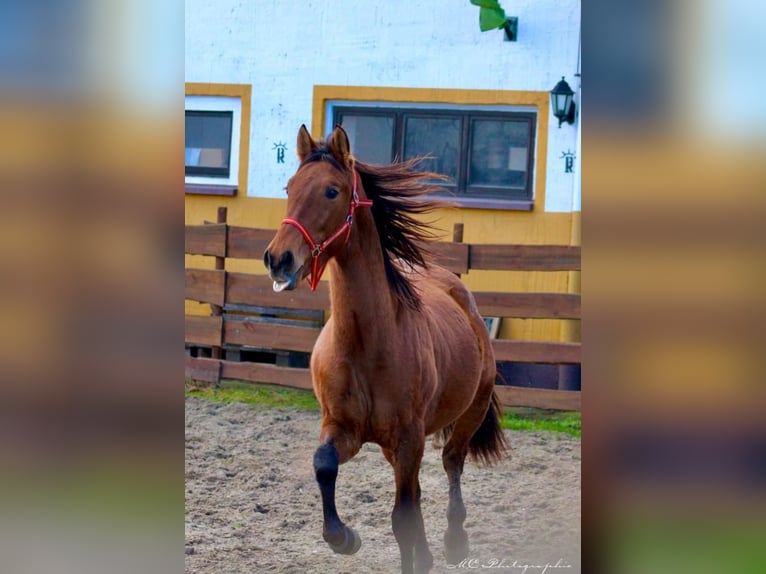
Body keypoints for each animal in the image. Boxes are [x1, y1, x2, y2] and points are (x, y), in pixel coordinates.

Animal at [266, 126, 510, 574]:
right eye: (289, 187)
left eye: (331, 191)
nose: (278, 258)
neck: (367, 343)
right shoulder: (341, 428)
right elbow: (323, 466)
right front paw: (345, 538)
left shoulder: (409, 437)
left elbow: (404, 518)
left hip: (471, 409)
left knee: (452, 461)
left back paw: (454, 542)